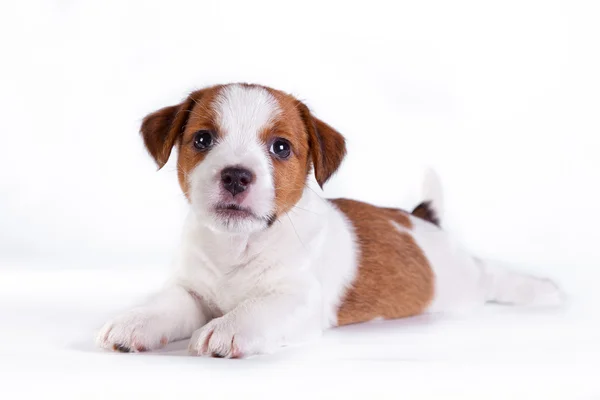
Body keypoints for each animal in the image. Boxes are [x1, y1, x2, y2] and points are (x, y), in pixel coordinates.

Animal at [95, 83, 564, 358]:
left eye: (281, 147)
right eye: (203, 139)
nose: (235, 175)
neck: (238, 245)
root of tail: (423, 222)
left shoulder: (299, 298)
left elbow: (259, 306)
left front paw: (228, 327)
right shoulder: (190, 290)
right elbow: (165, 303)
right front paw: (135, 321)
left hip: (463, 280)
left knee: (493, 275)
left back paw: (542, 290)